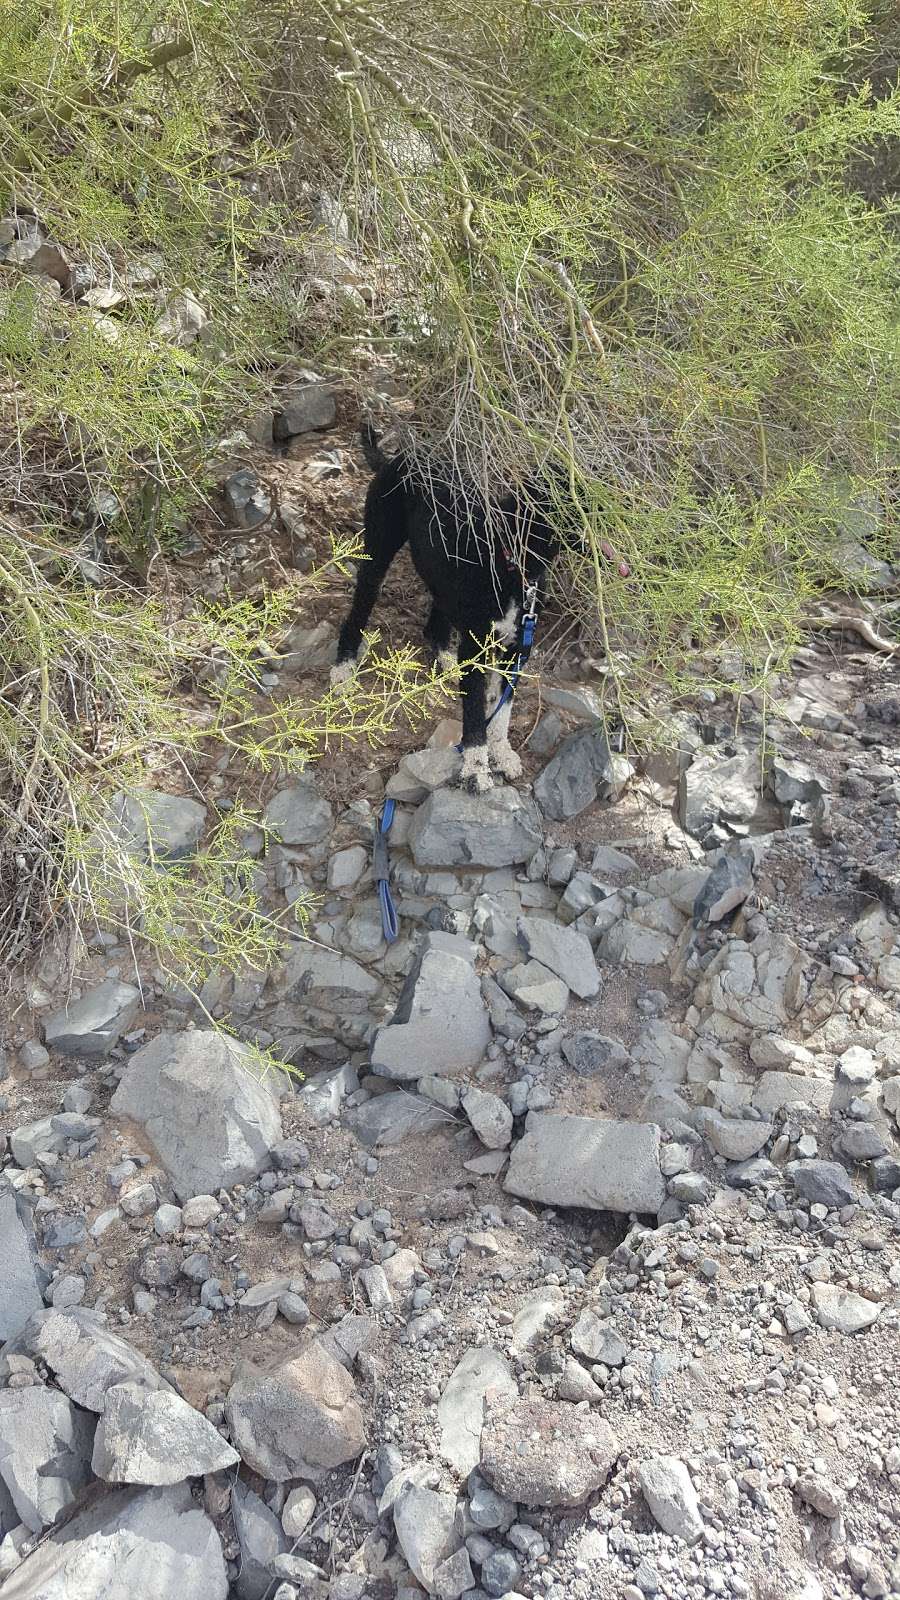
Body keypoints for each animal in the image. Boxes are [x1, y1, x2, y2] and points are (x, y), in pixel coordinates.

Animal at [333, 425, 557, 793]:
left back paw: (445, 657)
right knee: (360, 607)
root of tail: (399, 457)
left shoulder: (515, 649)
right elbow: (475, 717)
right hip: (378, 550)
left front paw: (502, 752)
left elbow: (502, 709)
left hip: (438, 571)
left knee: (436, 617)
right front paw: (477, 769)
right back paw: (344, 665)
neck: (509, 564)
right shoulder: (477, 648)